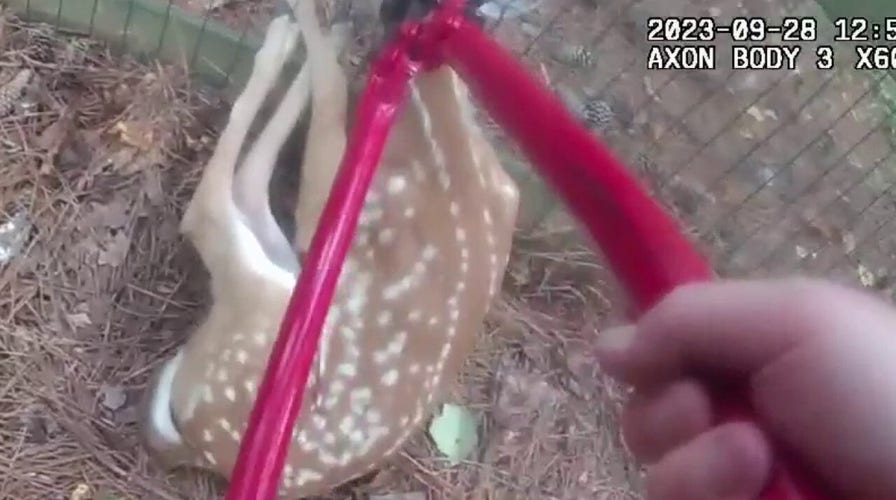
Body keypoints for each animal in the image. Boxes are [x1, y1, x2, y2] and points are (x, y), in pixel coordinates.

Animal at [138, 0, 520, 497]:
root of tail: (200, 444)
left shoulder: (342, 200)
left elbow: (335, 95)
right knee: (246, 191)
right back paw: (311, 36)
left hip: (270, 312)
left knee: (208, 209)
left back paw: (284, 39)